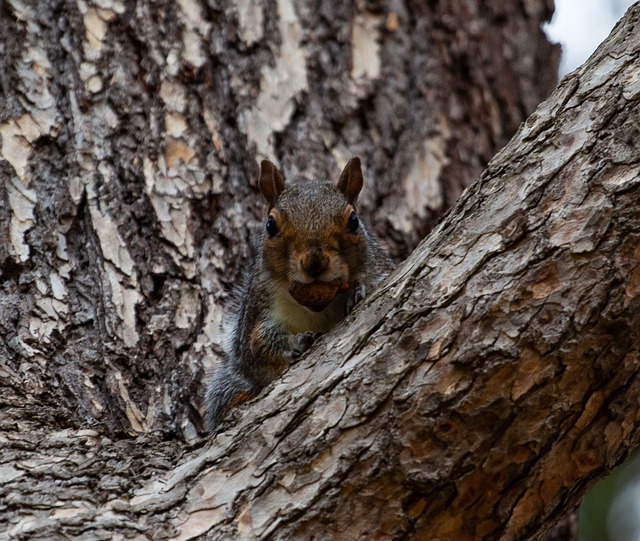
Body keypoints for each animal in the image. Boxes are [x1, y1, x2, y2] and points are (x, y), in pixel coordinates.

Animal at [206, 155, 396, 430]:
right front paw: (294, 343)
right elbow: (256, 346)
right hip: (227, 386)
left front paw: (362, 288)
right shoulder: (258, 307)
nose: (314, 263)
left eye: (353, 221)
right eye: (270, 225)